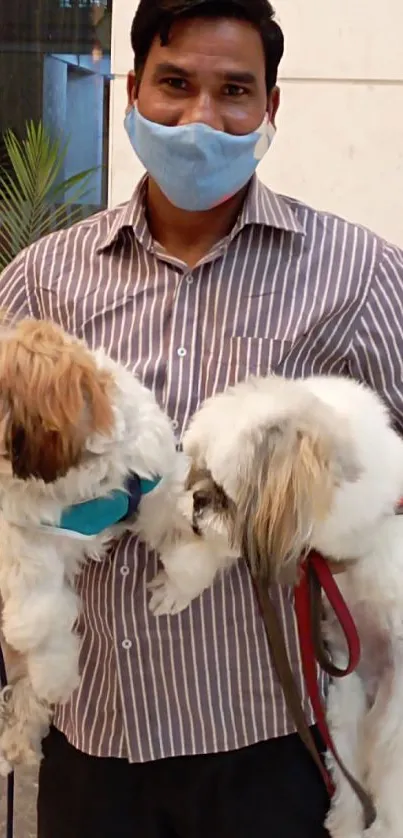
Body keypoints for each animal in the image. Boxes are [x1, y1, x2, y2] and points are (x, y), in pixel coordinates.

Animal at [0, 320, 208, 776]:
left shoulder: (155, 483)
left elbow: (187, 541)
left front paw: (178, 588)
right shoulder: (27, 541)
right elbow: (40, 618)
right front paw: (56, 676)